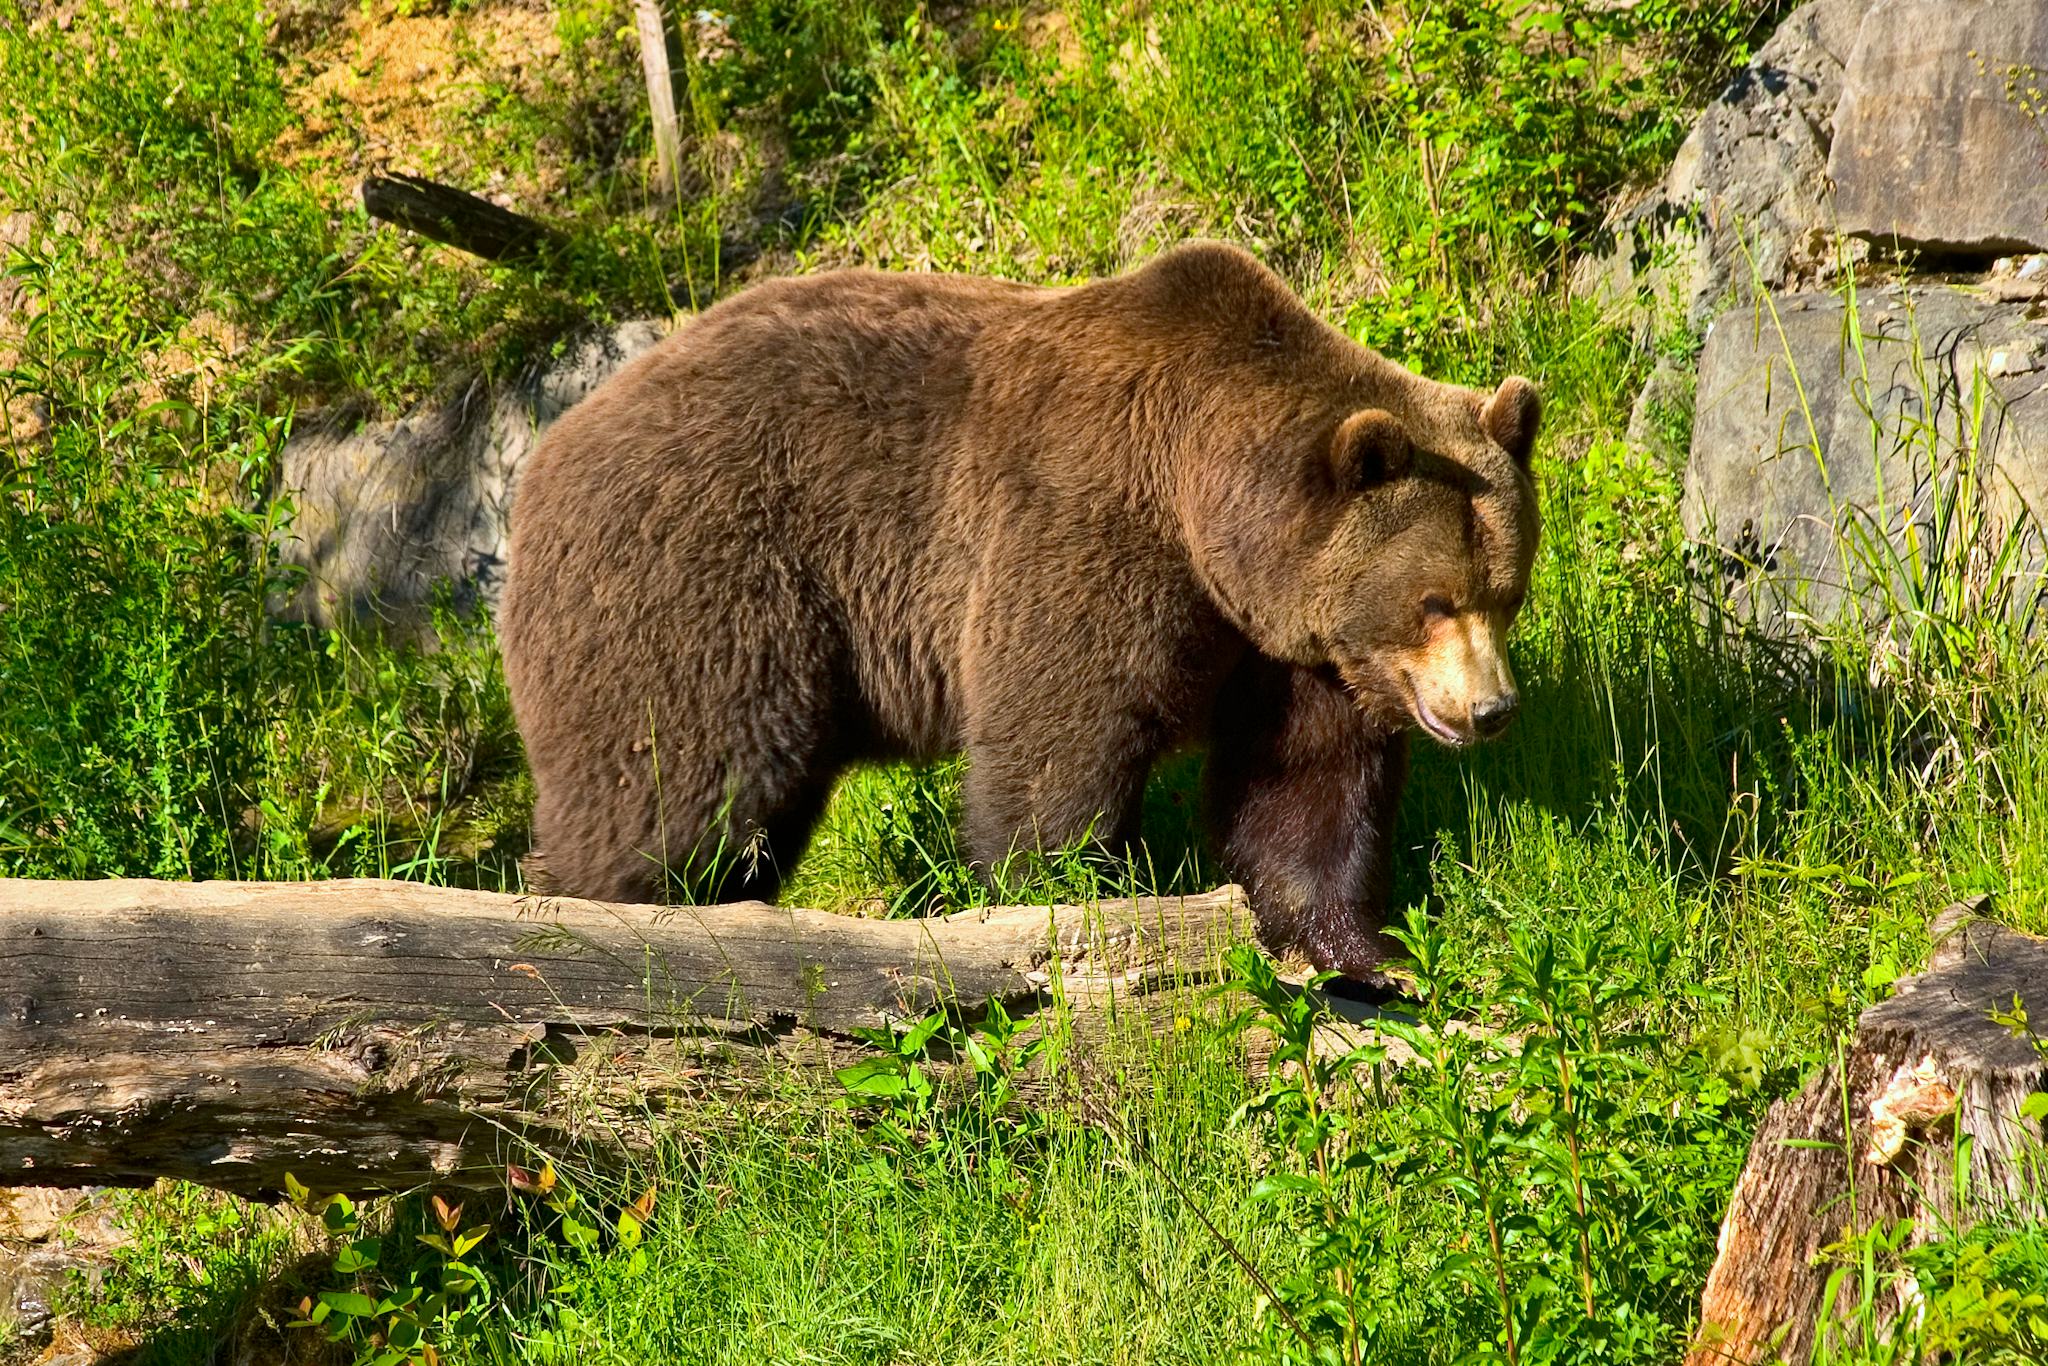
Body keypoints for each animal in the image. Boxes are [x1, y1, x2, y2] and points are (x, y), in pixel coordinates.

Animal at [503, 240, 1540, 978]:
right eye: (1432, 600)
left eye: (1506, 592)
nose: (1491, 710)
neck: (1206, 514)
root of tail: (545, 459)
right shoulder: (1087, 528)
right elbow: (1057, 744)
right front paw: (1066, 899)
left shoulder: (1285, 645)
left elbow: (1303, 789)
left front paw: (1363, 956)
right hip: (702, 582)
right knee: (675, 785)